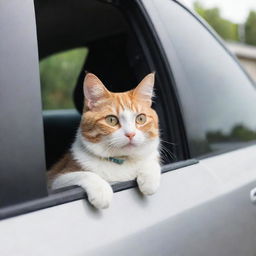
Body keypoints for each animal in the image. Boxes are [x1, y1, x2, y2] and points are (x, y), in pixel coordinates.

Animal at [47, 71, 160, 208]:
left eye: (141, 119)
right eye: (111, 120)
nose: (130, 134)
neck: (122, 161)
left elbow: (152, 161)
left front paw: (149, 179)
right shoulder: (56, 180)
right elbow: (85, 174)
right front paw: (101, 190)